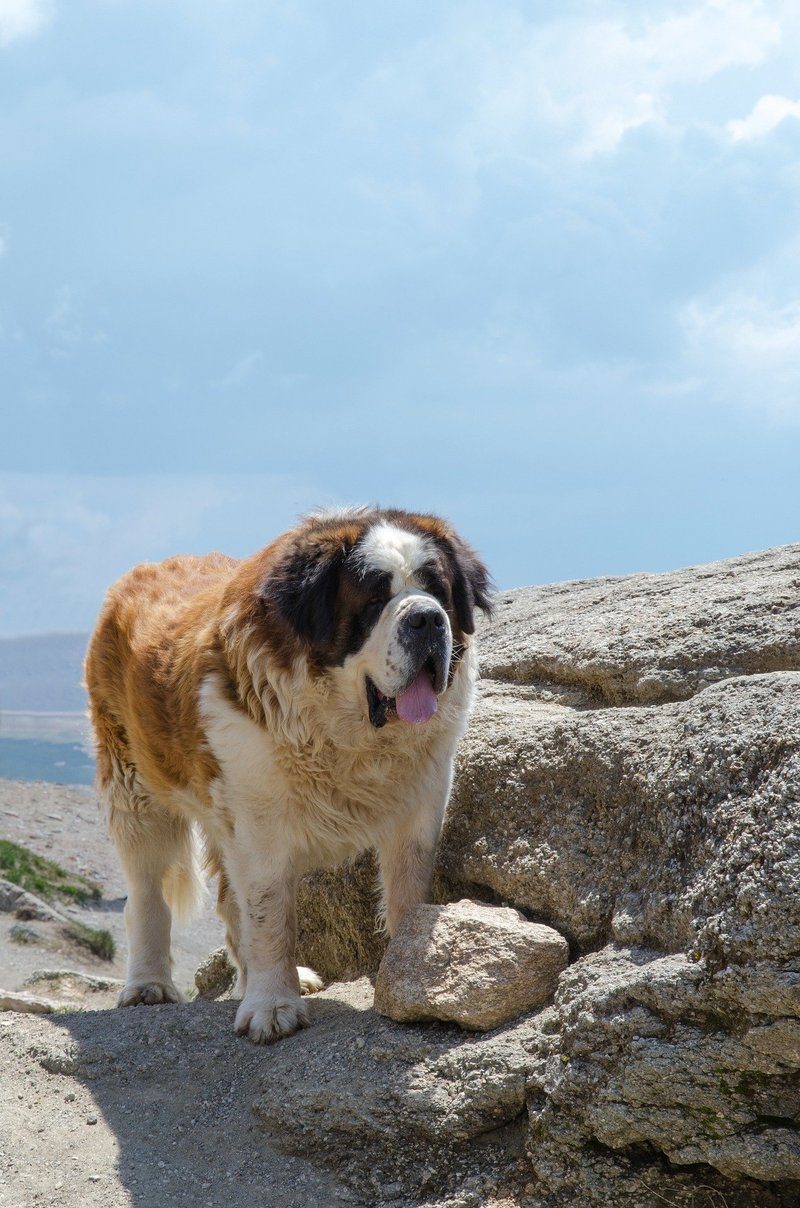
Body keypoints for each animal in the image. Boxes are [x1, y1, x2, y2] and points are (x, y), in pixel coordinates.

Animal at [84, 504, 493, 1043]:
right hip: (136, 791)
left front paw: (408, 982)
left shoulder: (420, 805)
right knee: (149, 893)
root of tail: (144, 570)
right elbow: (271, 914)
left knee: (228, 899)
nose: (426, 618)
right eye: (374, 598)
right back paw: (149, 985)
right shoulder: (259, 821)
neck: (348, 735)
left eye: (438, 589)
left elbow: (408, 893)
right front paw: (273, 1006)